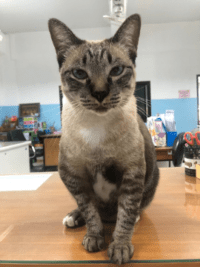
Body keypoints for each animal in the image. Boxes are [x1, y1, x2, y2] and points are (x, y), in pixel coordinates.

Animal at [48, 13, 159, 264]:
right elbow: (90, 211)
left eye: (116, 70)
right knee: (91, 210)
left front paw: (119, 247)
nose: (100, 93)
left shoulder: (131, 174)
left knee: (132, 210)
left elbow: (125, 215)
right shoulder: (73, 177)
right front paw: (94, 238)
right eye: (79, 74)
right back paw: (73, 217)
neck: (96, 131)